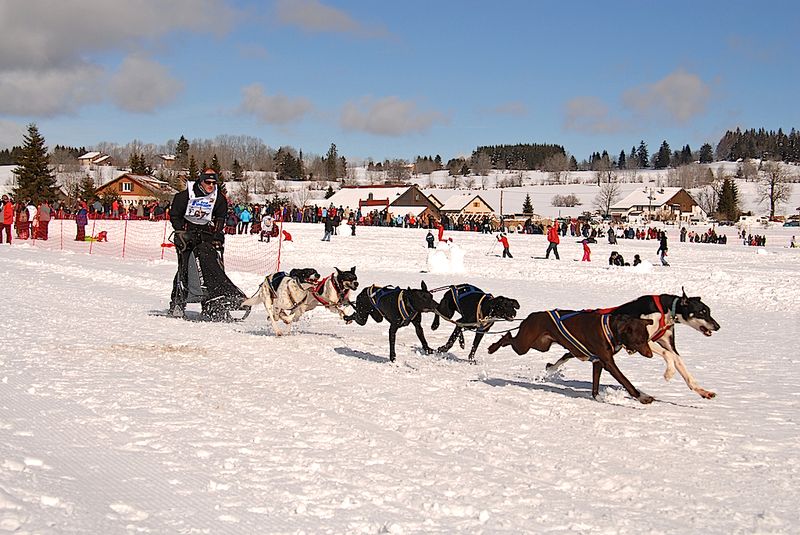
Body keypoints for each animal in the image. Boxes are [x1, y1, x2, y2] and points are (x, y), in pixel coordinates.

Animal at [488, 312, 656, 404]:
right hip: (523, 346)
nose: (651, 355)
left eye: (647, 339)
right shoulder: (608, 363)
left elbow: (595, 387)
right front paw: (643, 397)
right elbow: (626, 381)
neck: (610, 328)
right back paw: (493, 347)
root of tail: (530, 316)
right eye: (640, 341)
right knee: (508, 337)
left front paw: (598, 398)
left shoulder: (598, 362)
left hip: (540, 345)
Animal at [548, 292, 720, 400]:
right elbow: (668, 355)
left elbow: (681, 365)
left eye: (709, 311)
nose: (717, 326)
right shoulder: (645, 340)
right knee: (566, 355)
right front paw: (669, 373)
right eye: (701, 312)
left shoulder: (668, 344)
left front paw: (702, 391)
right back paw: (551, 369)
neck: (665, 310)